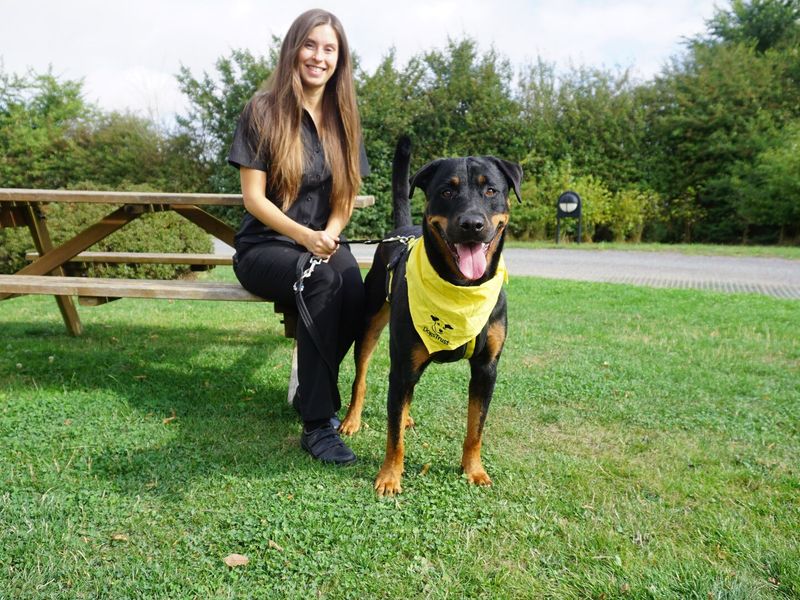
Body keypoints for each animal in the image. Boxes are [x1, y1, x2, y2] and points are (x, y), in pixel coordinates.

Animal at [340, 138, 520, 494]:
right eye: (447, 191)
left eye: (491, 190)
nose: (472, 224)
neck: (460, 291)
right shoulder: (402, 364)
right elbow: (393, 436)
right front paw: (389, 476)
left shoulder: (486, 369)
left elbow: (475, 428)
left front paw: (473, 469)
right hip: (370, 326)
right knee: (362, 378)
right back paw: (353, 419)